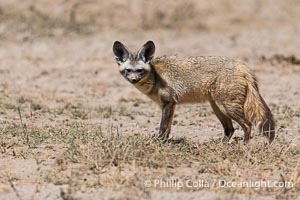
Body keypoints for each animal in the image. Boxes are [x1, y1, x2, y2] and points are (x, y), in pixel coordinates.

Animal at [112, 41, 274, 144]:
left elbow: (163, 127)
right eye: (128, 71)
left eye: (140, 71)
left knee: (247, 125)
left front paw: (160, 143)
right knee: (230, 129)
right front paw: (165, 142)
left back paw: (244, 146)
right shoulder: (169, 105)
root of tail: (242, 65)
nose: (133, 80)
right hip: (218, 108)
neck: (155, 76)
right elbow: (168, 128)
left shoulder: (169, 103)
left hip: (227, 107)